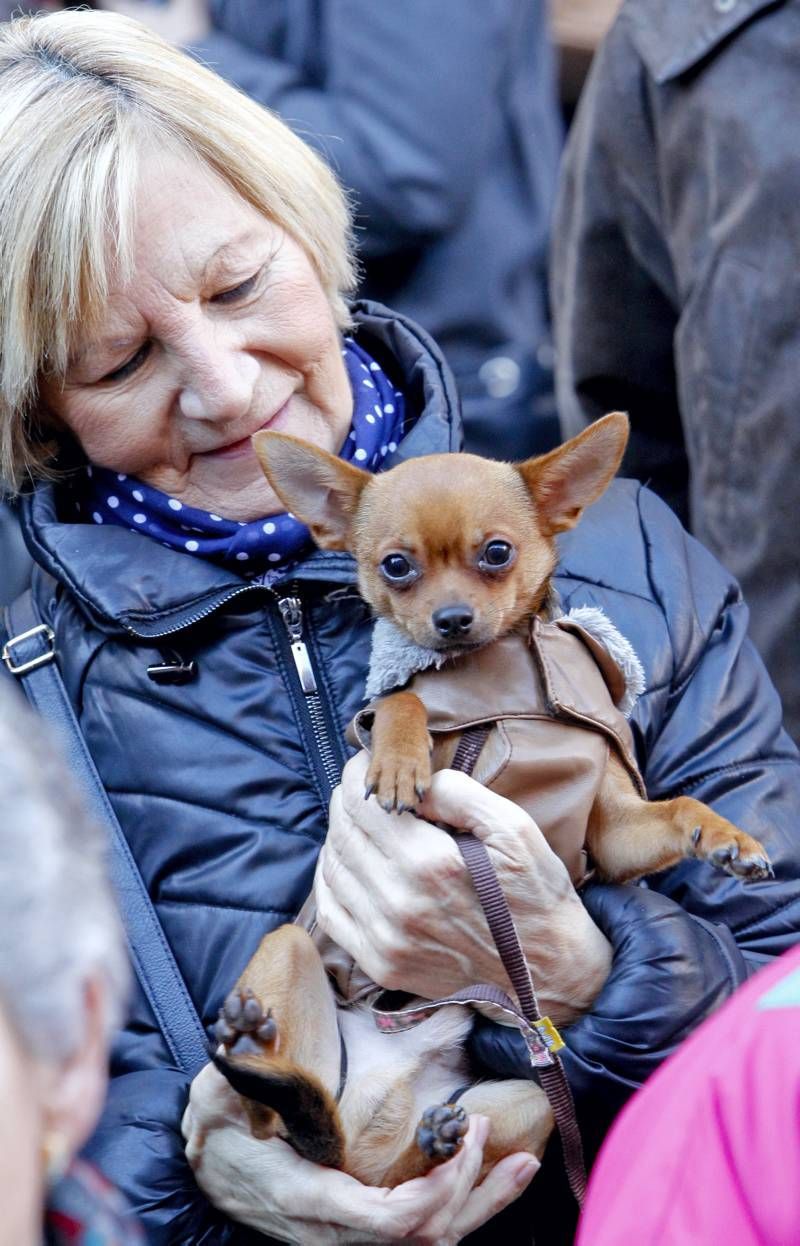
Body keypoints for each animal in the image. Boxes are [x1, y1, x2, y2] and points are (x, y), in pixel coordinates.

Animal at [201, 416, 767, 1186]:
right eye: (396, 566)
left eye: (497, 553)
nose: (450, 619)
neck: (505, 679)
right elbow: (403, 698)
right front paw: (399, 758)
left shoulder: (614, 832)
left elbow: (679, 809)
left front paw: (728, 839)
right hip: (290, 949)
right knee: (282, 1125)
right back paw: (254, 1049)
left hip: (527, 1098)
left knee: (406, 1167)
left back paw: (429, 1136)